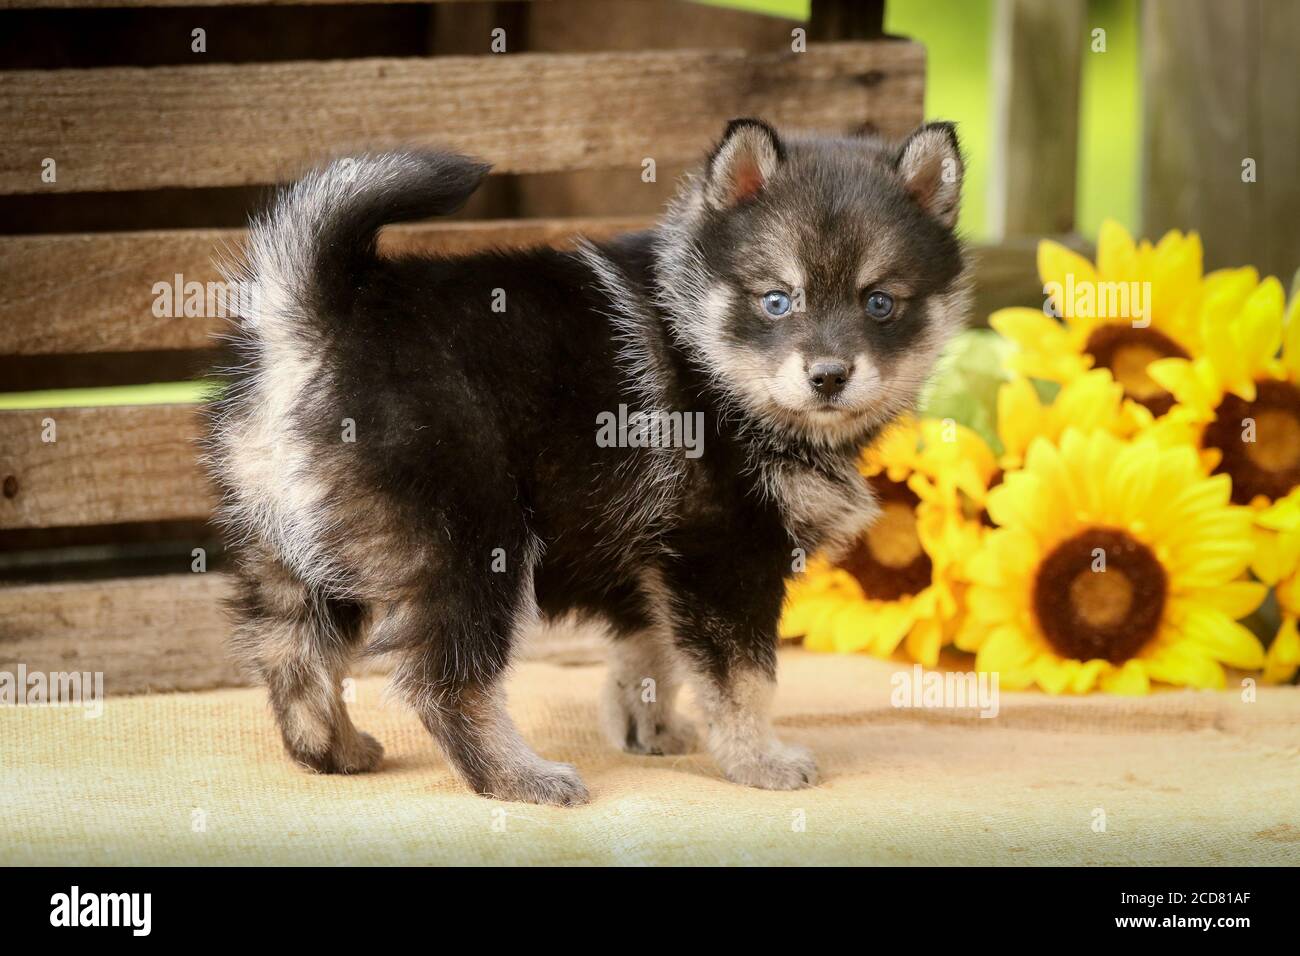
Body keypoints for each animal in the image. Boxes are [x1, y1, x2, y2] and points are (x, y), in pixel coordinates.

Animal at [208, 119, 972, 806]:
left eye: (880, 303)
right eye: (778, 300)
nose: (829, 376)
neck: (702, 348)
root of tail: (317, 322)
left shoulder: (657, 564)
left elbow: (651, 655)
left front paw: (650, 731)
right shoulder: (722, 557)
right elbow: (745, 680)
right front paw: (760, 760)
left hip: (298, 549)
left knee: (287, 650)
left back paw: (332, 749)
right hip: (473, 546)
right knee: (445, 683)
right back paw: (519, 778)